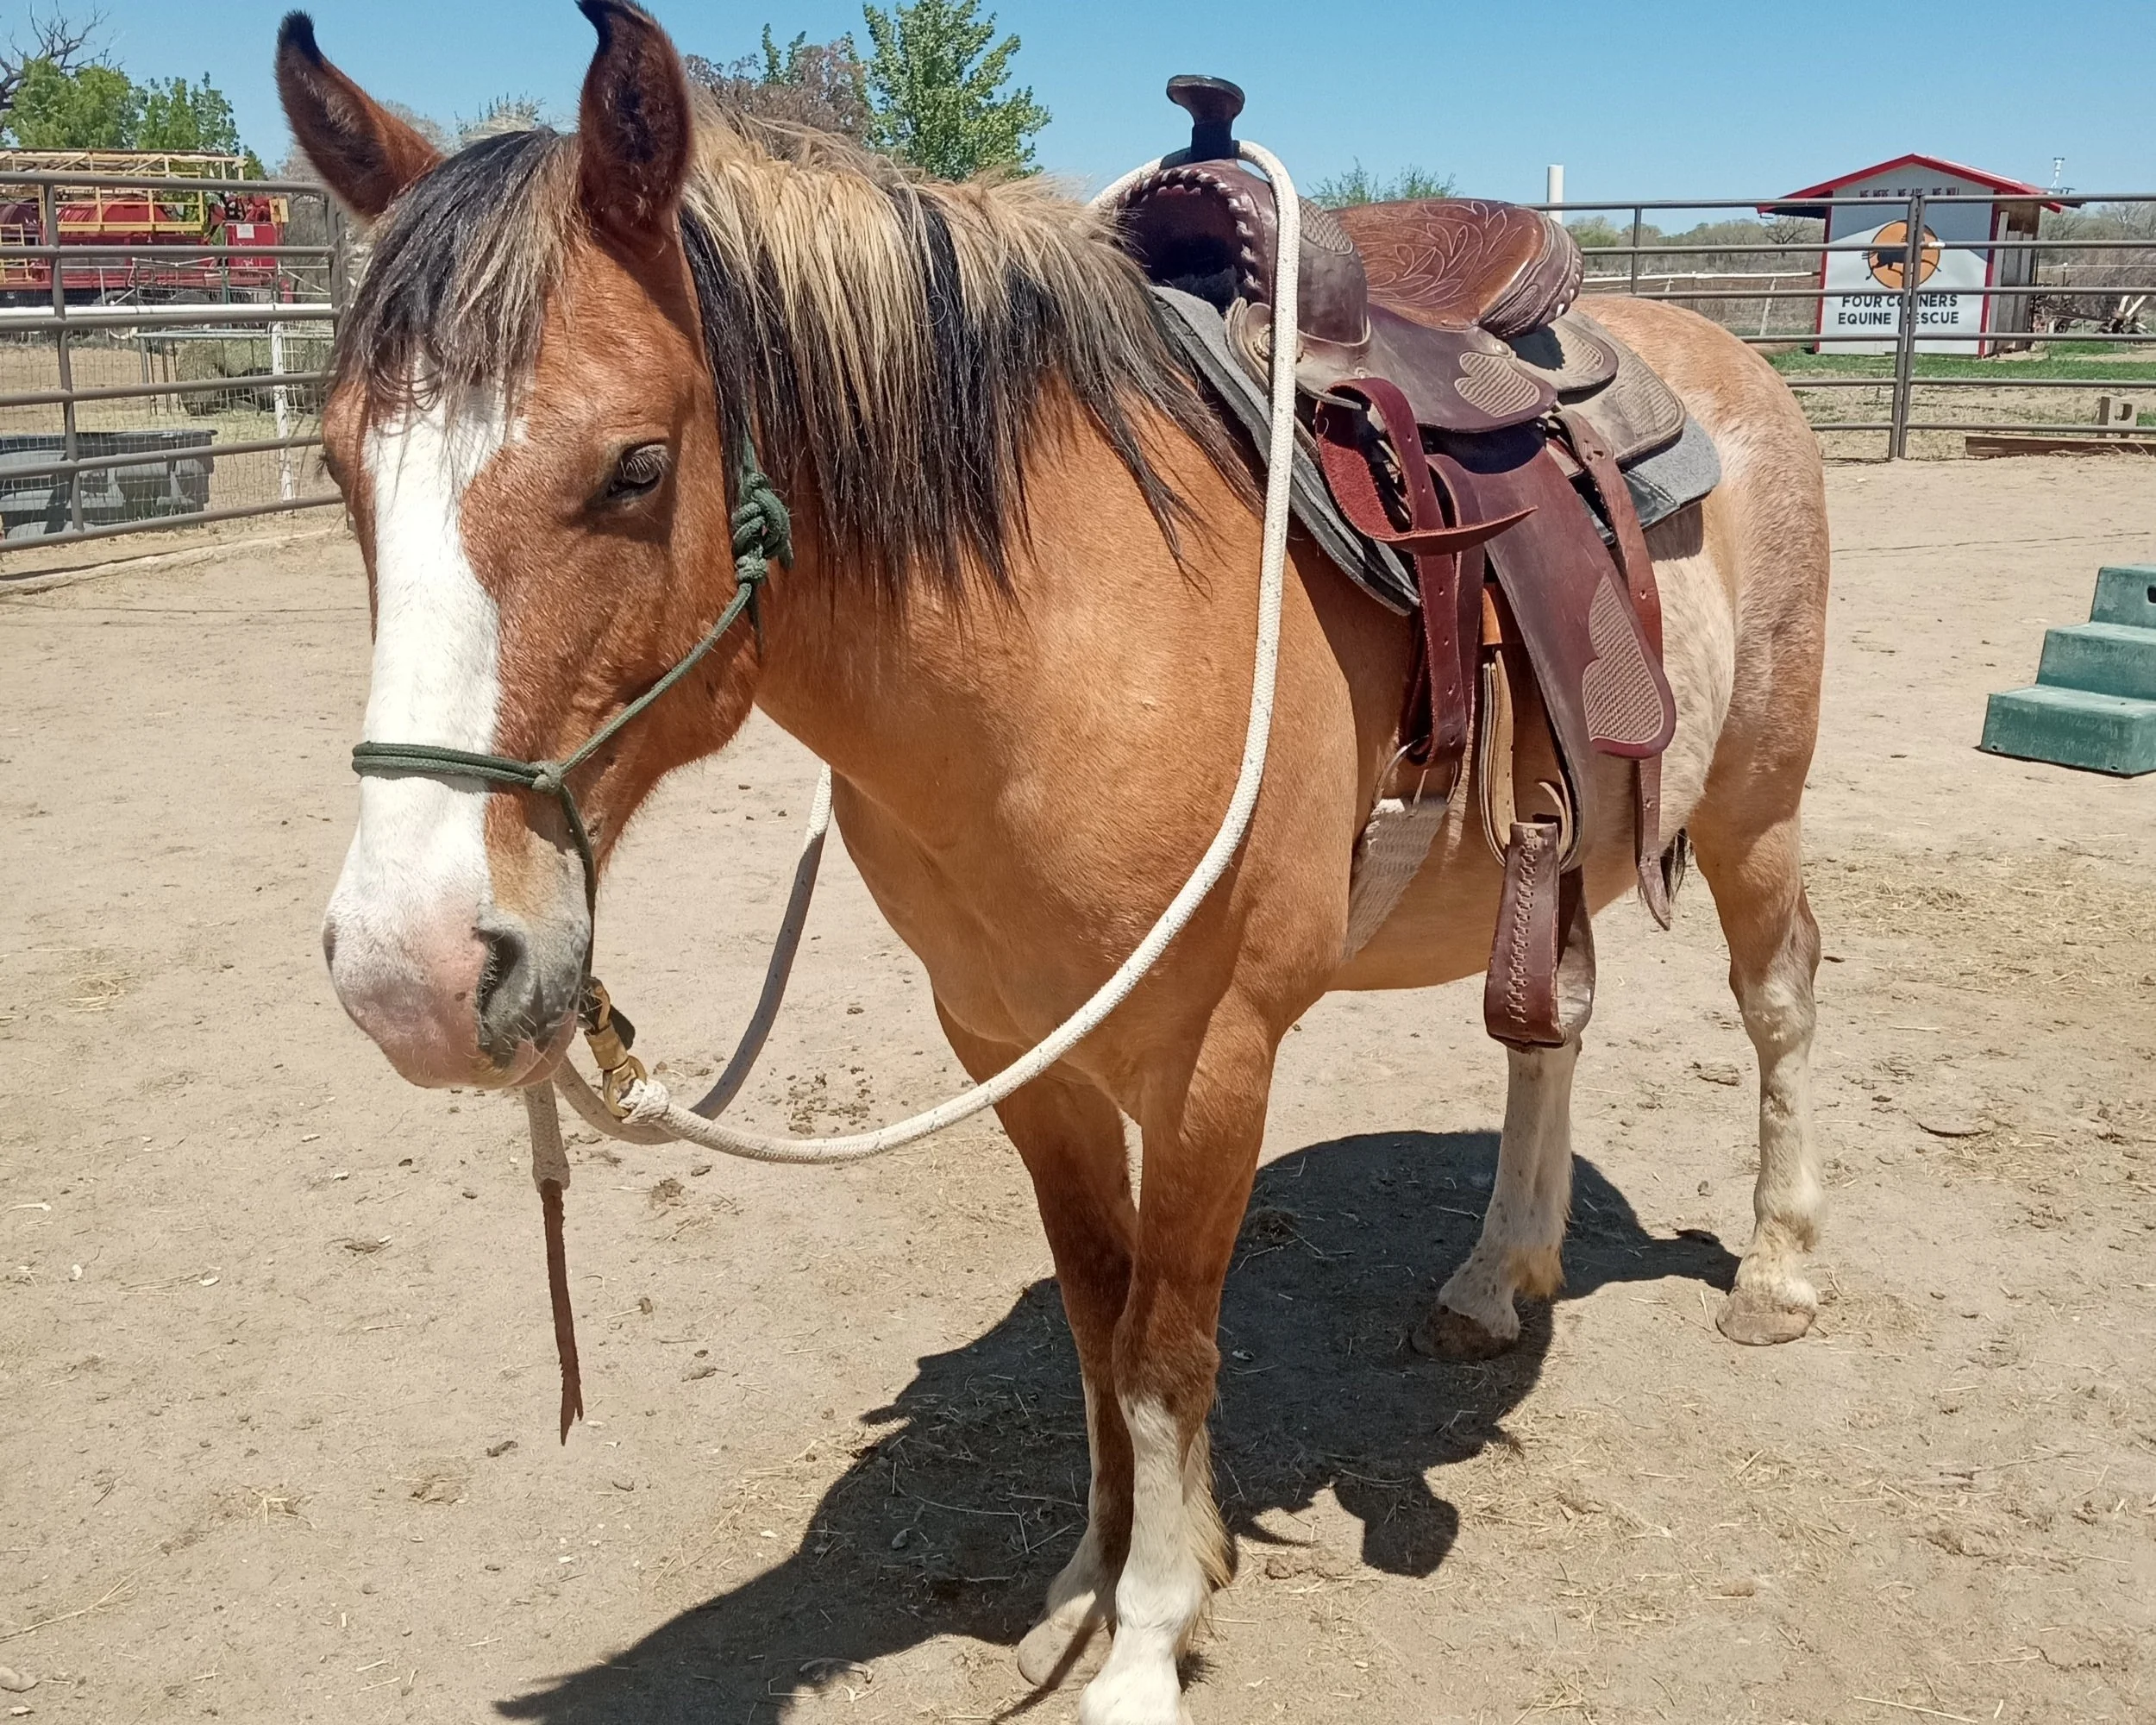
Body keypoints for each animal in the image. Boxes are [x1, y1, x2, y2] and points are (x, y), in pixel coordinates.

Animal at [280, 5, 1830, 1720]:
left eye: (632, 467)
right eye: (343, 469)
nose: (409, 973)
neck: (1064, 644)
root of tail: (1717, 353)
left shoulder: (1216, 1057)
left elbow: (1166, 1346)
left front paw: (1147, 1638)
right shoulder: (1013, 1046)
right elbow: (1097, 1325)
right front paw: (1095, 1581)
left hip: (1754, 810)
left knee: (1780, 996)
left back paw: (1778, 1271)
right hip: (1545, 863)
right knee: (1549, 1033)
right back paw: (1498, 1278)